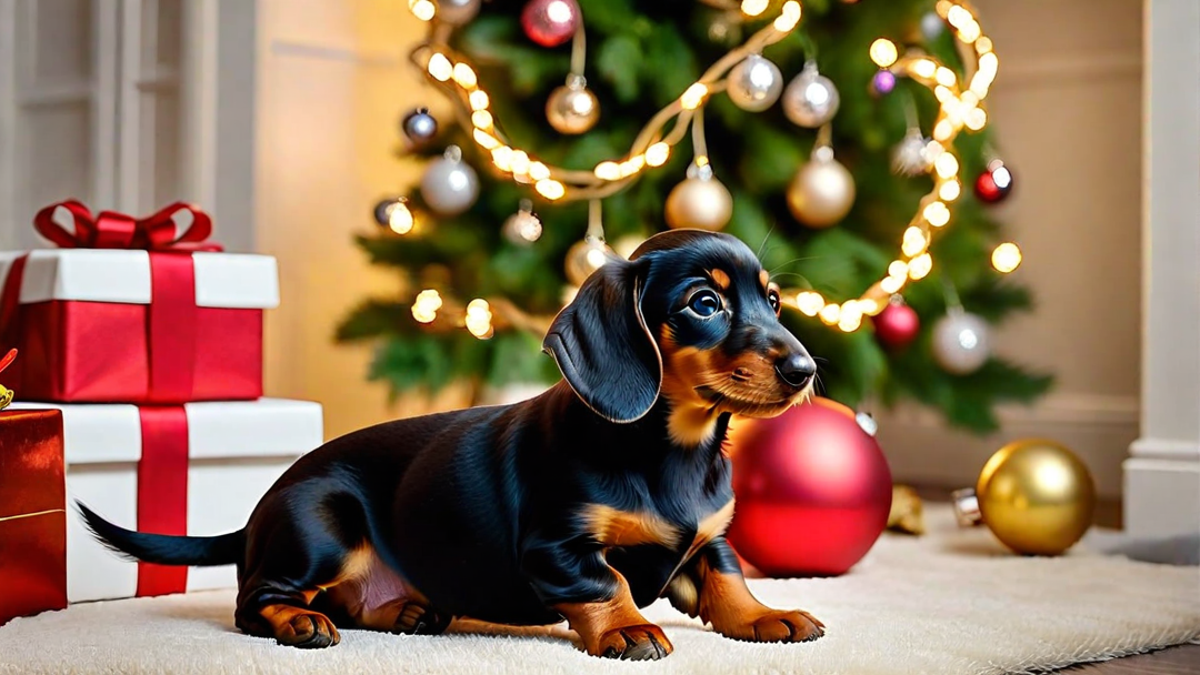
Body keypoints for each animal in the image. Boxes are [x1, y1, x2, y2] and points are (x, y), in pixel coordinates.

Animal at [77, 228, 825, 658]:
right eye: (705, 303)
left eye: (774, 300)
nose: (806, 369)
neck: (673, 450)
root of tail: (261, 507)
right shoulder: (555, 545)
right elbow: (604, 579)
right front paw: (625, 626)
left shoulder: (710, 538)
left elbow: (728, 579)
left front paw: (768, 615)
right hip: (320, 524)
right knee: (253, 599)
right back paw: (298, 621)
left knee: (344, 598)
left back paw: (405, 607)